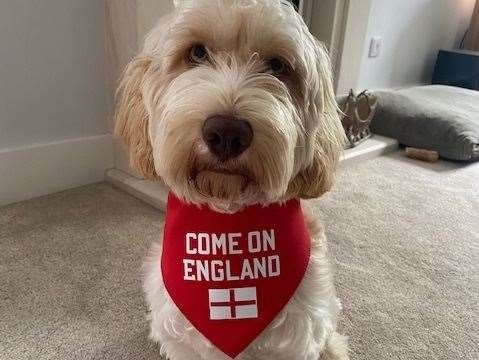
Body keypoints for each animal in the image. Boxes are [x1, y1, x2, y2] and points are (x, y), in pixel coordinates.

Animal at [116, 0, 348, 360]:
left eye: (277, 65)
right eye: (197, 53)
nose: (226, 133)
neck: (229, 223)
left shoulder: (295, 339)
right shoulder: (182, 341)